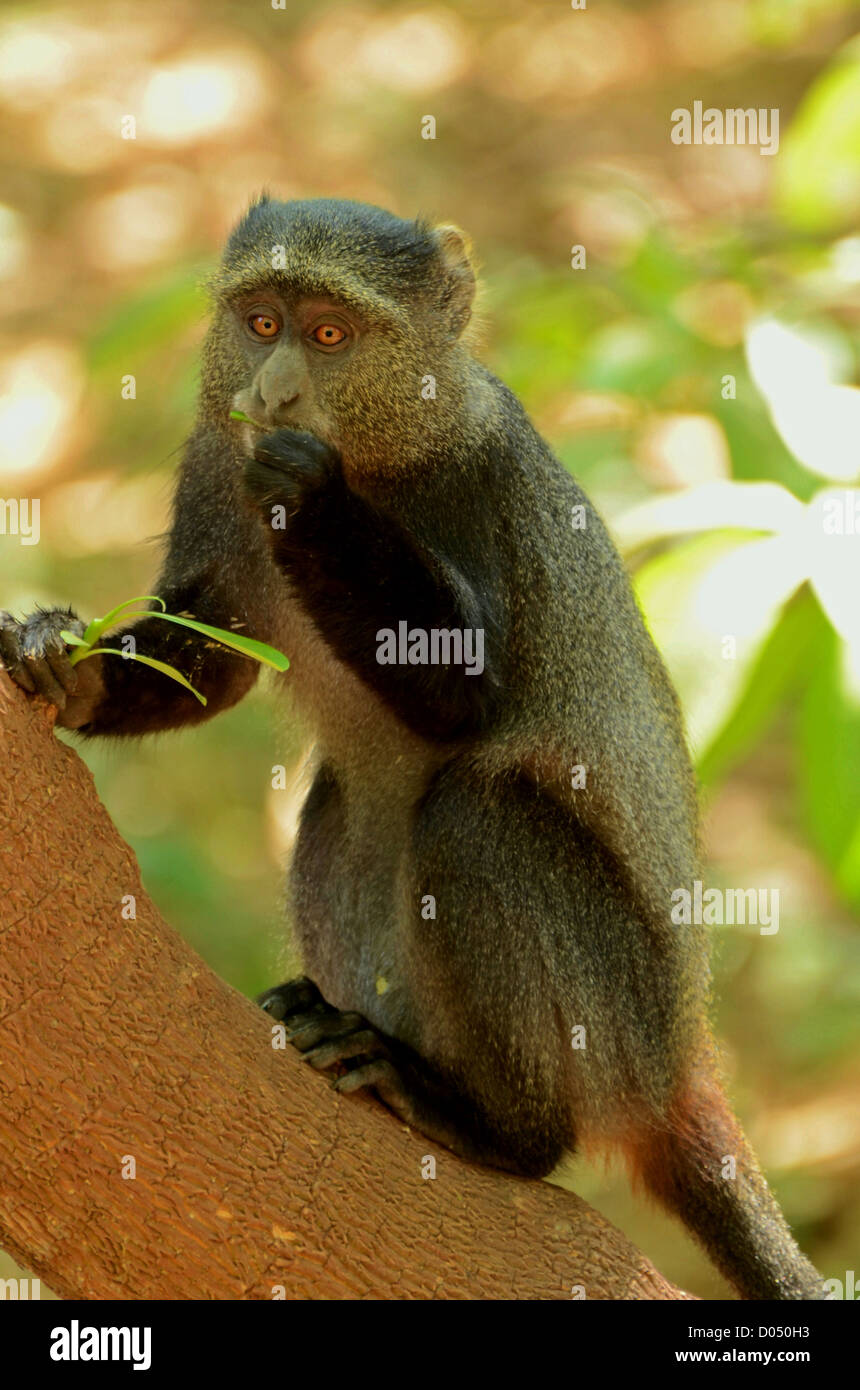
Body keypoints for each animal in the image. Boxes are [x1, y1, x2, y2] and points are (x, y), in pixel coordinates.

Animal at [1, 196, 824, 1300]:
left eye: (329, 334)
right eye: (262, 323)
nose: (273, 391)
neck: (385, 446)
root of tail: (675, 1067)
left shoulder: (477, 485)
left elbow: (464, 701)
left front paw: (311, 499)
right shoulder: (216, 461)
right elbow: (215, 650)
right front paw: (57, 657)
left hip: (617, 1016)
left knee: (478, 816)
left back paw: (489, 1124)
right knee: (334, 809)